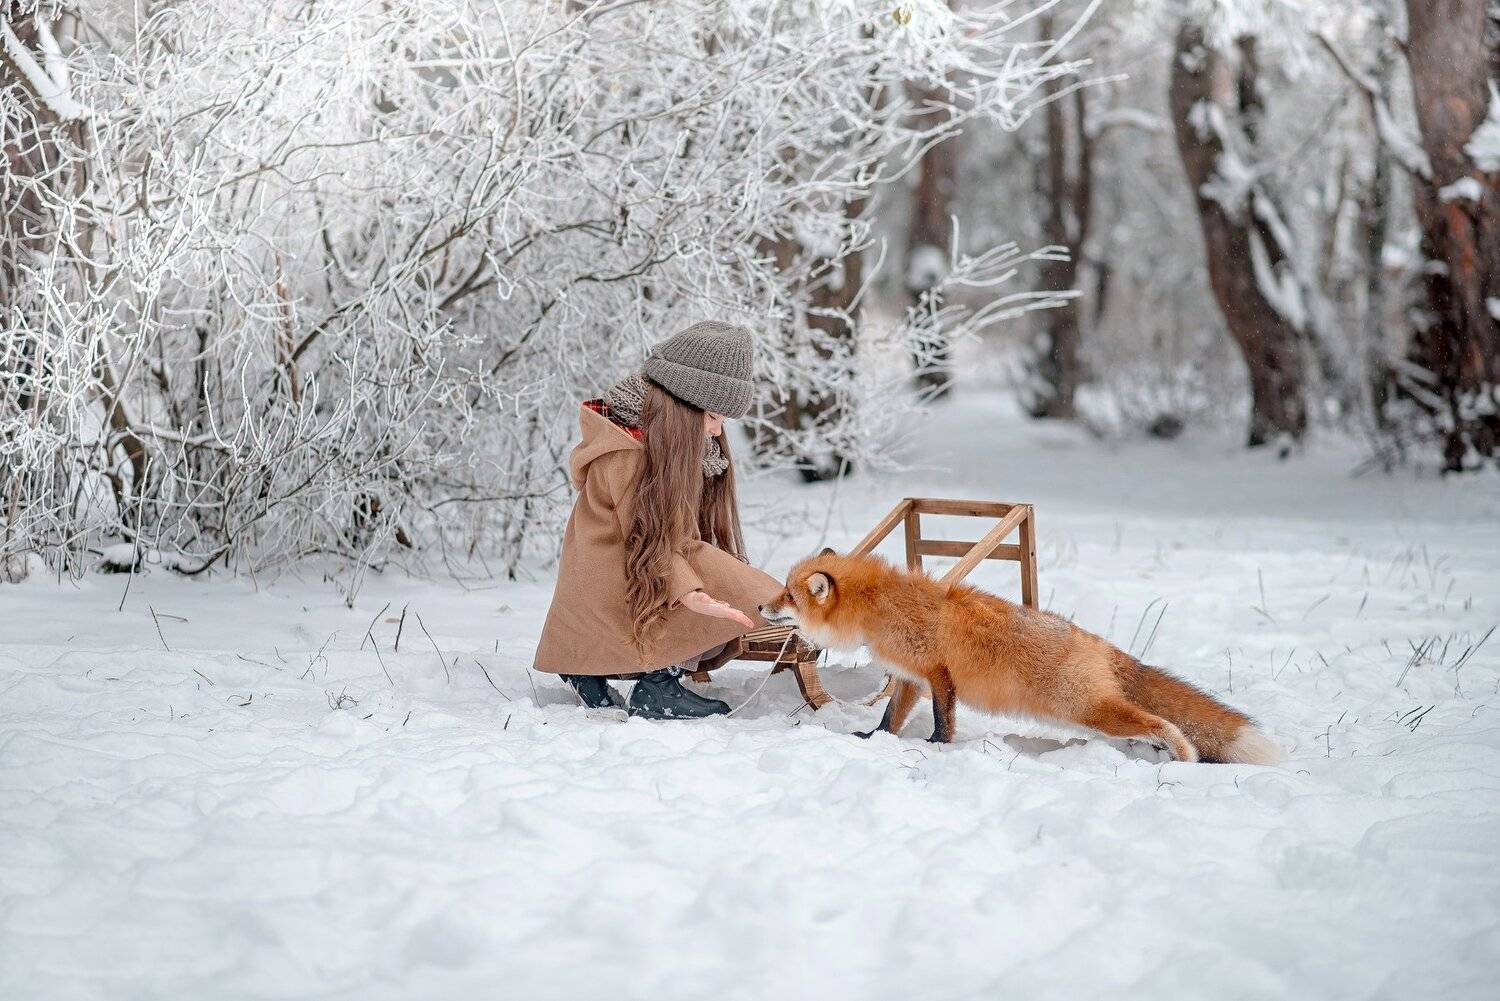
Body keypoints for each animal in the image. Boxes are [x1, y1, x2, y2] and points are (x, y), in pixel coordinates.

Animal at [759, 550, 1283, 765]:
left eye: (787, 595)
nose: (760, 607)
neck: (879, 607)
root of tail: (1098, 643)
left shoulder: (939, 674)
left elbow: (943, 719)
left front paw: (938, 748)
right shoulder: (910, 676)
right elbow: (890, 717)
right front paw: (875, 738)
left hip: (1086, 708)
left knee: (1164, 722)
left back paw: (1182, 756)